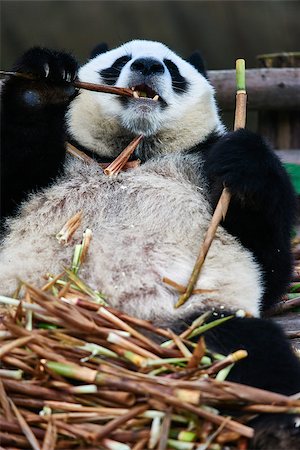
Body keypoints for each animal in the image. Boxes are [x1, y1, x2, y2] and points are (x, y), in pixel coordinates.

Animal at [0, 40, 300, 448]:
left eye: (171, 67)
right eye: (121, 61)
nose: (146, 65)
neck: (135, 152)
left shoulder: (203, 164)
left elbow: (271, 263)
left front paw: (243, 159)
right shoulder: (58, 164)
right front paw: (41, 86)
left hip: (192, 324)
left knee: (254, 352)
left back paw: (277, 427)